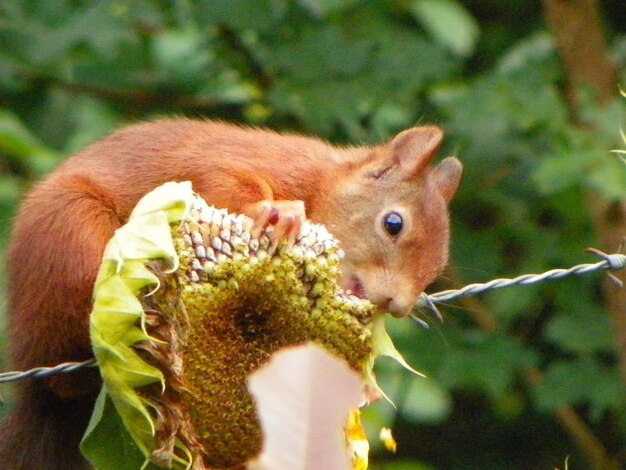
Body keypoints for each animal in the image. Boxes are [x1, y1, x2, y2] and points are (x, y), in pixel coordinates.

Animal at [0, 117, 458, 466]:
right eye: (394, 224)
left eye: (436, 270)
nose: (397, 305)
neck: (320, 184)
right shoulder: (233, 162)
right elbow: (217, 182)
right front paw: (276, 211)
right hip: (70, 235)